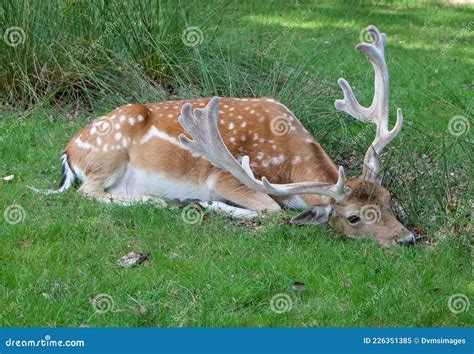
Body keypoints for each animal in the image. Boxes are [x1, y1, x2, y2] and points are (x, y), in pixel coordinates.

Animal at [40, 25, 414, 246]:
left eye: (387, 200)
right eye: (353, 217)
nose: (407, 239)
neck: (288, 162)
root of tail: (68, 151)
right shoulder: (225, 177)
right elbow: (274, 212)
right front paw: (205, 203)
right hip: (108, 154)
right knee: (88, 192)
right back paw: (158, 200)